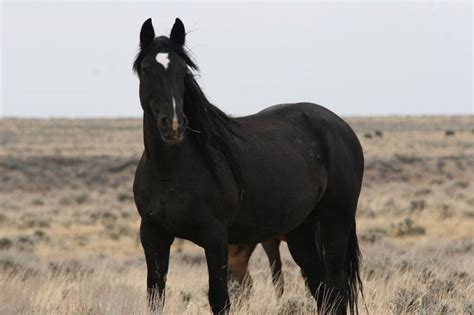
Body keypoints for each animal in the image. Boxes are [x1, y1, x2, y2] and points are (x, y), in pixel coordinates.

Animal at [134, 17, 366, 315]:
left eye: (183, 70)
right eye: (146, 69)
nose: (173, 125)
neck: (170, 173)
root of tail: (341, 126)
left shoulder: (215, 237)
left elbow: (220, 299)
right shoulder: (153, 236)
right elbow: (155, 299)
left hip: (335, 220)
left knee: (335, 288)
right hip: (301, 231)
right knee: (322, 289)